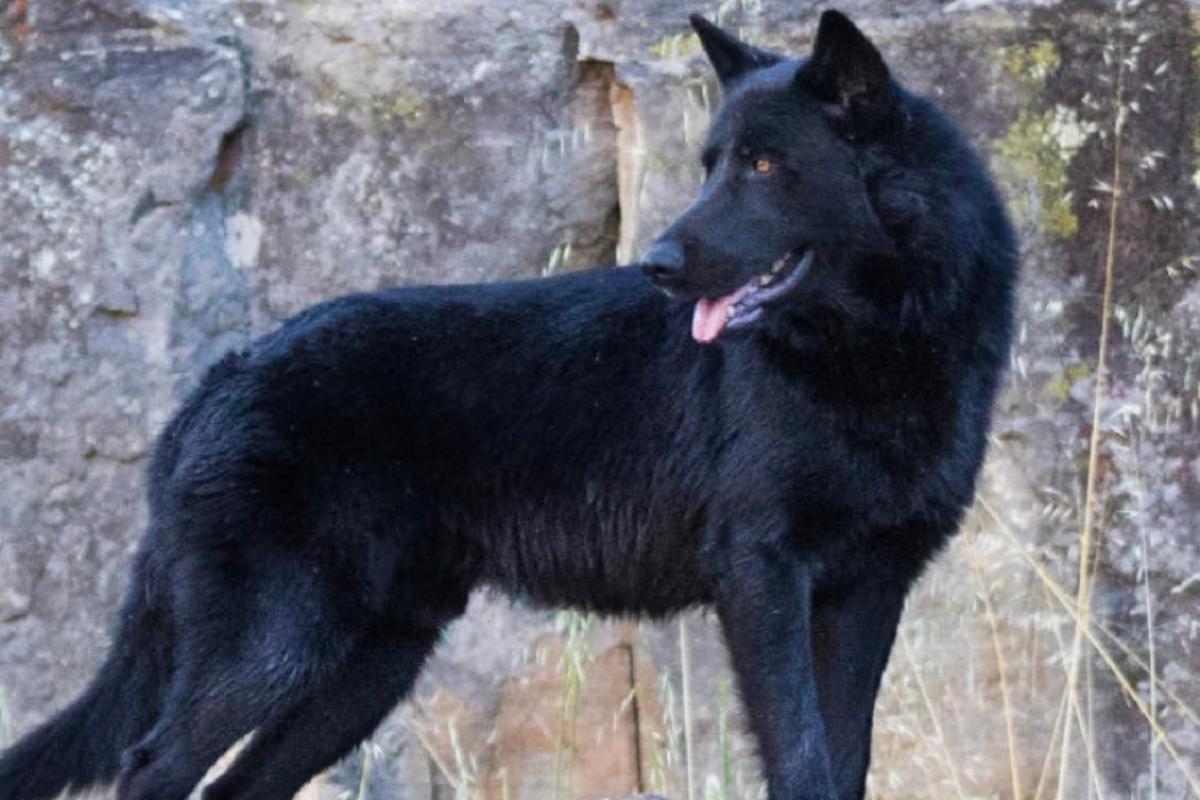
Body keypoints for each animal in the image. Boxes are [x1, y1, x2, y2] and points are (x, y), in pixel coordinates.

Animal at [0, 10, 1015, 800]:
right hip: (281, 646)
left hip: (366, 668)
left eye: (767, 166)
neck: (874, 352)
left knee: (235, 782)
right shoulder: (763, 575)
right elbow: (802, 757)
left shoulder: (868, 589)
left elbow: (845, 760)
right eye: (714, 165)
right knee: (153, 765)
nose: (657, 264)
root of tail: (219, 376)